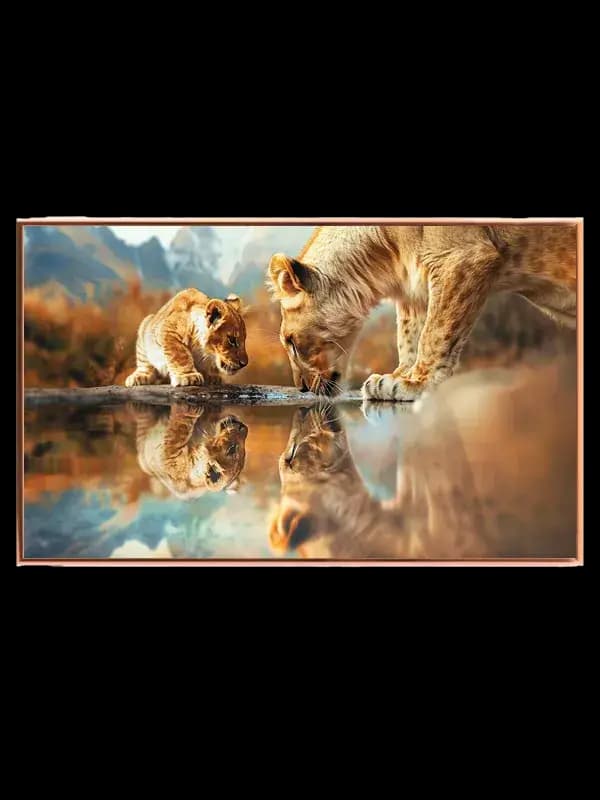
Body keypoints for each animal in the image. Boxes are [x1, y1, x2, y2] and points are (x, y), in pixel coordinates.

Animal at [267, 225, 577, 401]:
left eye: (291, 343)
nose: (302, 389)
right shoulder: (413, 289)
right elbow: (409, 336)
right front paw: (398, 375)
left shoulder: (462, 257)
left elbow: (434, 332)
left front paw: (415, 383)